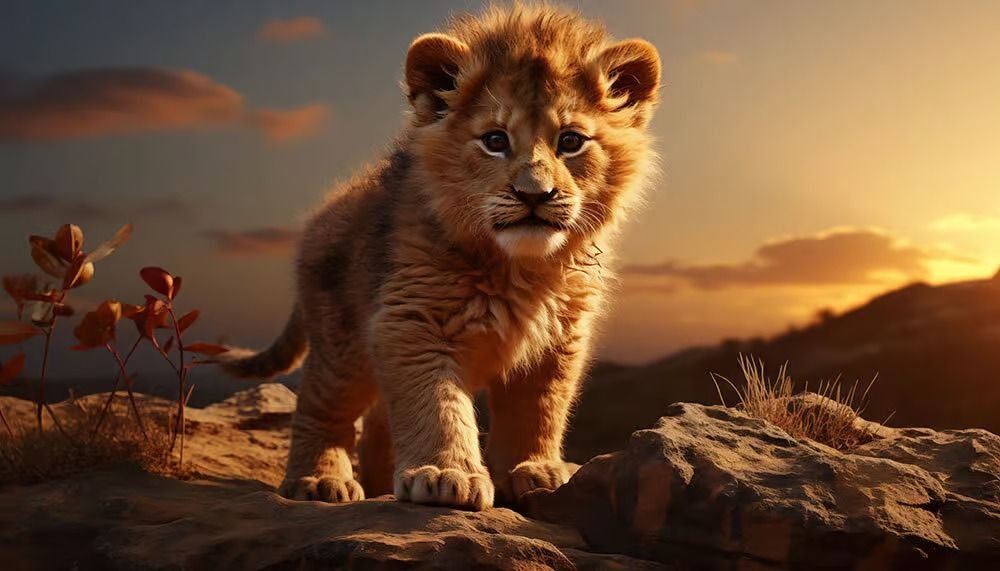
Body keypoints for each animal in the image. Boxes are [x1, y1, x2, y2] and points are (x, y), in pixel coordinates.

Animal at [219, 4, 660, 511]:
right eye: (494, 140)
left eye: (571, 142)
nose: (535, 194)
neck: (523, 268)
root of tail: (319, 216)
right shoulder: (410, 320)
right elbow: (437, 407)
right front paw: (446, 475)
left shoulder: (560, 340)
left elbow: (539, 410)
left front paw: (535, 470)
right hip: (342, 343)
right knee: (321, 404)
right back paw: (319, 481)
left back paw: (378, 483)